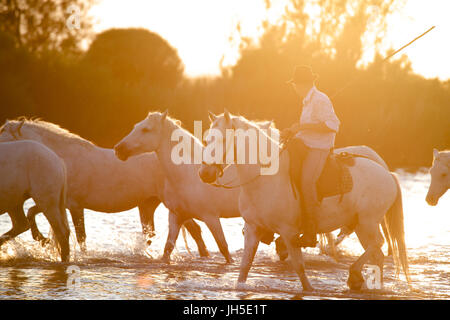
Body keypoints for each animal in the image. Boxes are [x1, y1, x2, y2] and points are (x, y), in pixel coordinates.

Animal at [0, 117, 207, 255]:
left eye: (3, 134)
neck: (64, 158)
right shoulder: (61, 203)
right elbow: (31, 212)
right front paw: (43, 239)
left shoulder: (73, 206)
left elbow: (81, 237)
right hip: (149, 205)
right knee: (160, 234)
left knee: (194, 230)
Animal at [200, 111, 408, 292]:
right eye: (207, 139)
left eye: (223, 139)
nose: (205, 173)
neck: (265, 177)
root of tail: (387, 173)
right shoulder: (252, 228)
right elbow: (245, 265)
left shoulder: (288, 231)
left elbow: (299, 266)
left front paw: (309, 289)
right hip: (360, 225)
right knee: (377, 254)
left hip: (368, 222)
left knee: (378, 245)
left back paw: (355, 275)